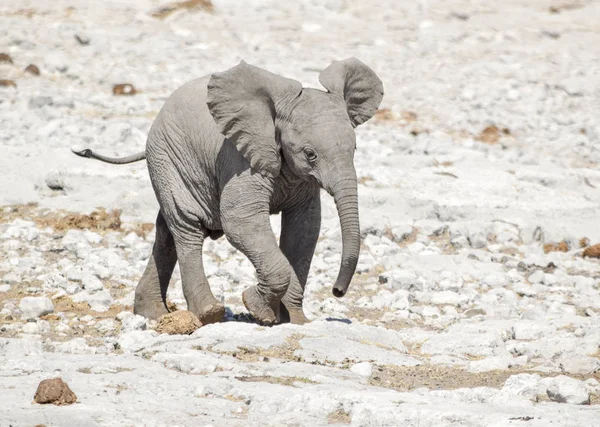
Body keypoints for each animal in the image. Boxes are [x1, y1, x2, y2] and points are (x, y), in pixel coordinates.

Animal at [74, 56, 384, 324]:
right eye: (310, 154)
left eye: (355, 149)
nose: (337, 291)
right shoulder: (239, 157)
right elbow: (240, 221)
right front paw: (259, 309)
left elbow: (304, 229)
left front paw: (295, 321)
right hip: (168, 157)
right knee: (187, 226)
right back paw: (208, 313)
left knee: (167, 230)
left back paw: (153, 314)